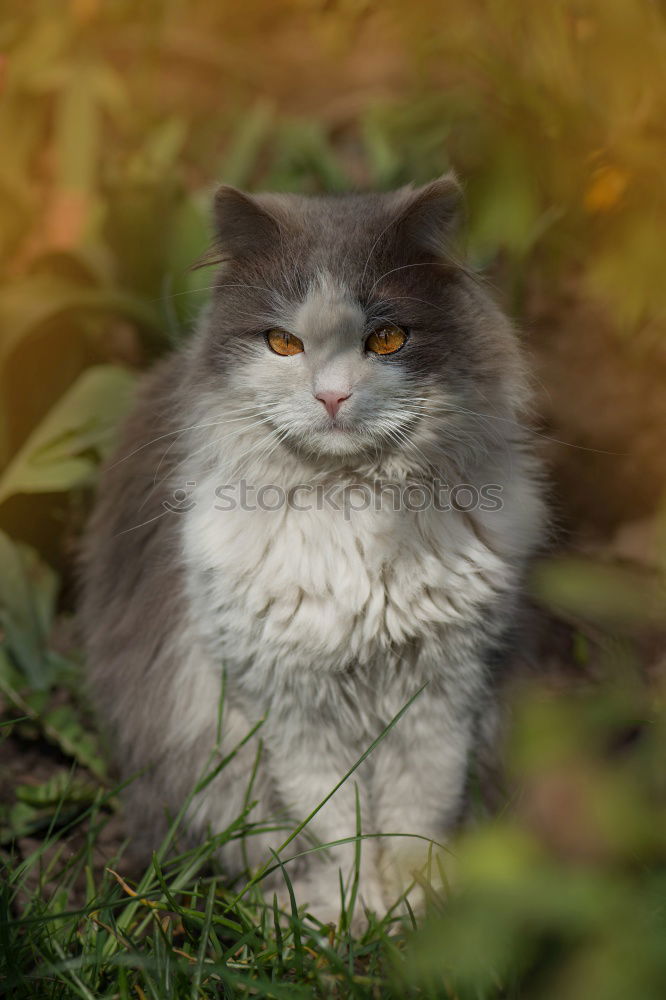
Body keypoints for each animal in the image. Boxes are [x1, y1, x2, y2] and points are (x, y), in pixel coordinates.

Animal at [79, 176, 544, 924]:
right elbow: (334, 827)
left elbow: (417, 812)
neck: (354, 506)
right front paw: (348, 919)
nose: (331, 397)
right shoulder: (289, 699)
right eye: (282, 342)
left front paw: (412, 911)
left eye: (386, 338)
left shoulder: (443, 686)